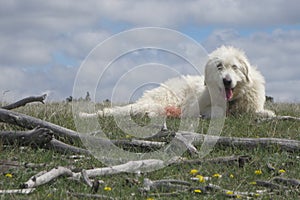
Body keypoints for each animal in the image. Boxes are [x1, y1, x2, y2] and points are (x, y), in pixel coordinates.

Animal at [81, 45, 276, 119]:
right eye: (219, 67)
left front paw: (266, 113)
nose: (226, 81)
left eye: (235, 67)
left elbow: (262, 113)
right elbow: (217, 113)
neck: (233, 99)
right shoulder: (199, 106)